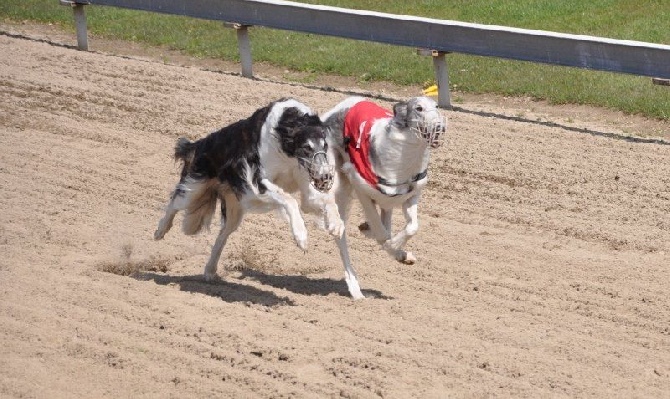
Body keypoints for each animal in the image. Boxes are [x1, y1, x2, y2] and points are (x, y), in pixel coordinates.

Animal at [156, 99, 346, 282]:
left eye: (325, 145)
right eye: (306, 147)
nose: (326, 176)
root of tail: (197, 145)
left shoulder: (305, 185)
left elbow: (327, 201)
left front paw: (336, 224)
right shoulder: (258, 182)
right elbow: (290, 200)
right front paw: (301, 237)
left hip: (233, 210)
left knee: (222, 236)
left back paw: (210, 271)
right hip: (194, 188)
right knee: (174, 203)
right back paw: (159, 232)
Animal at [324, 97, 448, 300]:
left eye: (436, 106)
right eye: (418, 108)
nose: (440, 127)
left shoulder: (411, 196)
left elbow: (412, 227)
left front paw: (402, 253)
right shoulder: (360, 187)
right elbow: (383, 235)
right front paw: (394, 246)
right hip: (339, 188)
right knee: (341, 237)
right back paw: (356, 290)